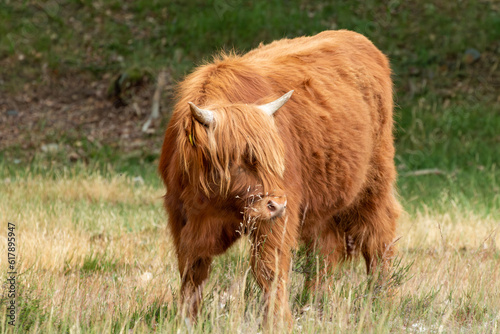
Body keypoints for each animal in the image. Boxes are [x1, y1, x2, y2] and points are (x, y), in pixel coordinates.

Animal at [160, 30, 402, 328]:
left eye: (276, 158)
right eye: (238, 159)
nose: (276, 204)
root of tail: (353, 36)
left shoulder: (277, 221)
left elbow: (268, 270)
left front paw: (277, 322)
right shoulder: (180, 216)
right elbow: (191, 271)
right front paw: (187, 320)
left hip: (374, 183)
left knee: (378, 238)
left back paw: (384, 300)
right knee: (324, 252)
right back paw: (314, 305)